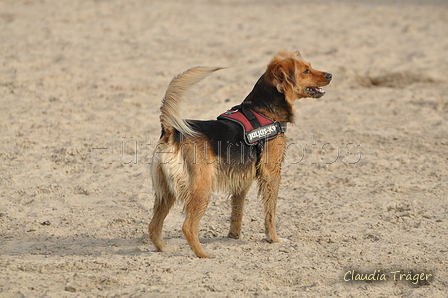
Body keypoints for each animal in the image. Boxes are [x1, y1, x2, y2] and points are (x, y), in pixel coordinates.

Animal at [149, 50, 330, 258]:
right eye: (306, 71)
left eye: (310, 66)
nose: (330, 75)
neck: (265, 110)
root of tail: (172, 131)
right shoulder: (271, 173)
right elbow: (270, 213)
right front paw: (274, 239)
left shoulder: (241, 179)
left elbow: (237, 211)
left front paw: (234, 236)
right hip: (201, 189)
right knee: (188, 226)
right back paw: (203, 254)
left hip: (166, 192)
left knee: (153, 225)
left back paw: (163, 248)